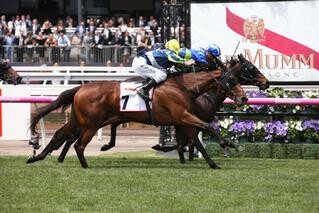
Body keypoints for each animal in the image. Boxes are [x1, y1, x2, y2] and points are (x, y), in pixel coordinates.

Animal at [27, 62, 248, 169]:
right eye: (231, 80)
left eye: (238, 79)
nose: (244, 97)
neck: (182, 87)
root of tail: (80, 88)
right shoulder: (183, 116)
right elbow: (207, 128)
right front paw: (230, 144)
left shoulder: (182, 120)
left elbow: (197, 142)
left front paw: (214, 162)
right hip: (91, 124)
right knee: (78, 145)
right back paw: (85, 165)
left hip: (77, 120)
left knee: (60, 135)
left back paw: (37, 157)